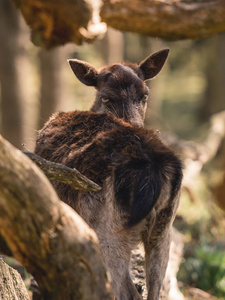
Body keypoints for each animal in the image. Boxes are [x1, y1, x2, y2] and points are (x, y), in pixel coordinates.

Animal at [34, 49, 183, 300]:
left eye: (145, 94)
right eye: (106, 97)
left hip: (106, 229)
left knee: (121, 290)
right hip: (164, 230)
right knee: (153, 289)